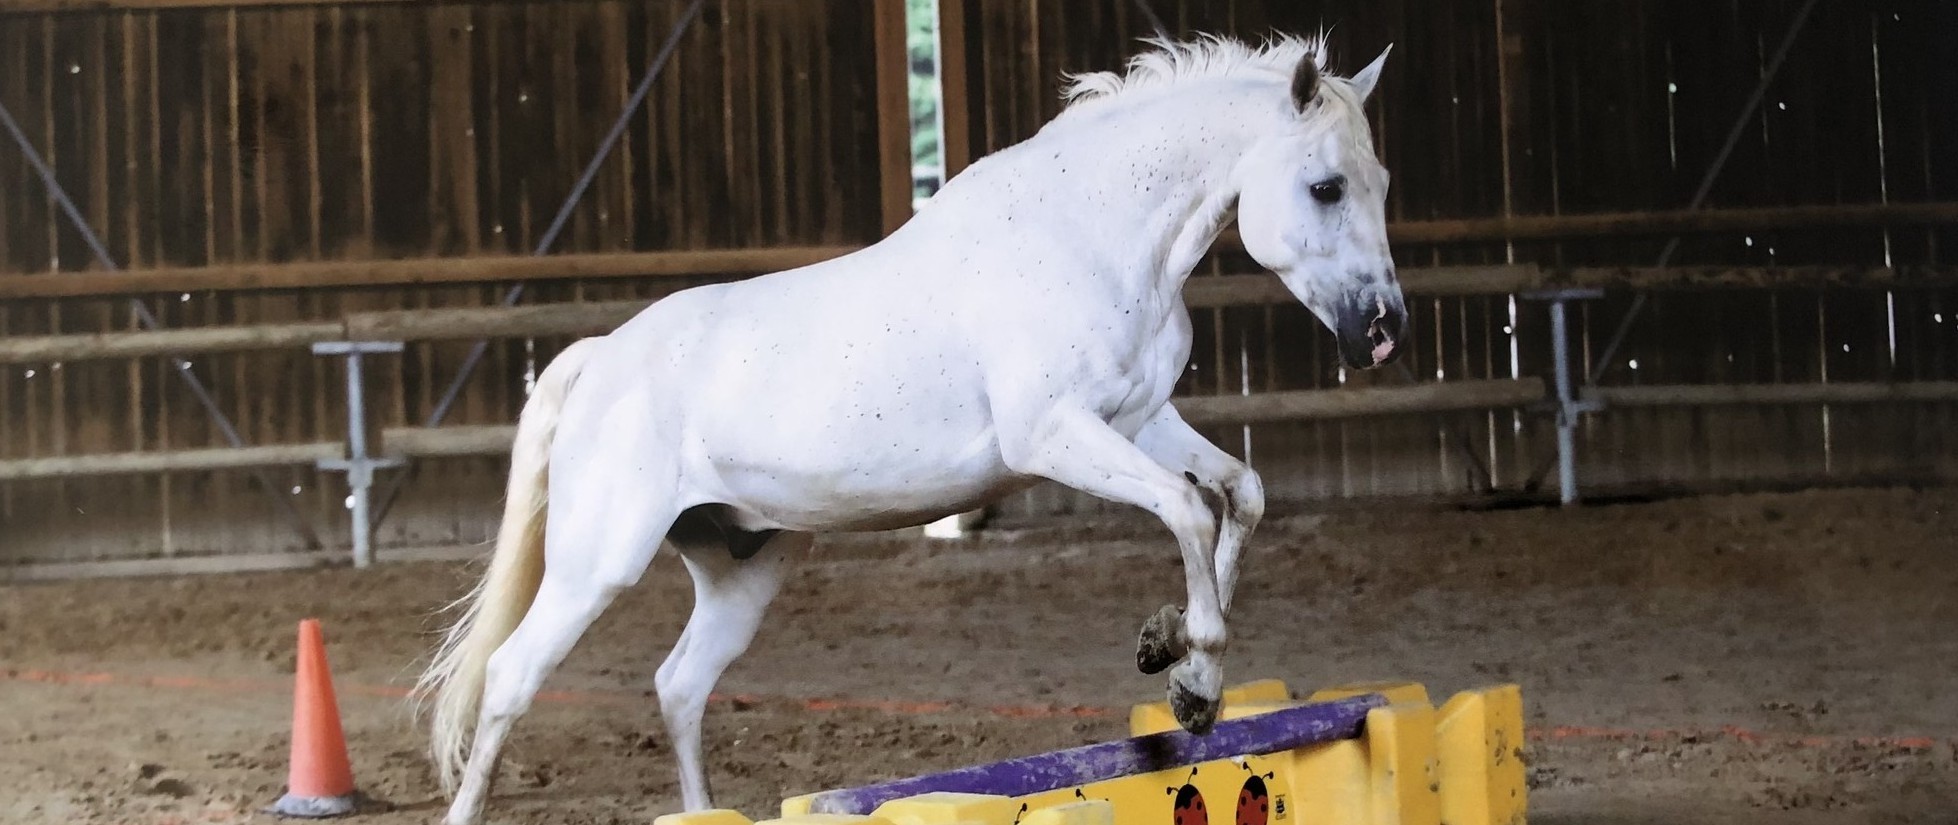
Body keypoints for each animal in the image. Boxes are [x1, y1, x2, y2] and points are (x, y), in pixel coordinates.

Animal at [419, 33, 1404, 825]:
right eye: (1325, 187)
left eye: (1382, 183)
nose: (1382, 331)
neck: (1087, 235)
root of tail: (600, 358)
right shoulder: (1054, 437)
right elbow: (1190, 510)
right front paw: (1192, 675)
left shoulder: (1139, 419)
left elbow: (1241, 493)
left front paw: (1173, 650)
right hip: (597, 563)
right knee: (510, 676)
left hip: (742, 569)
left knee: (681, 684)